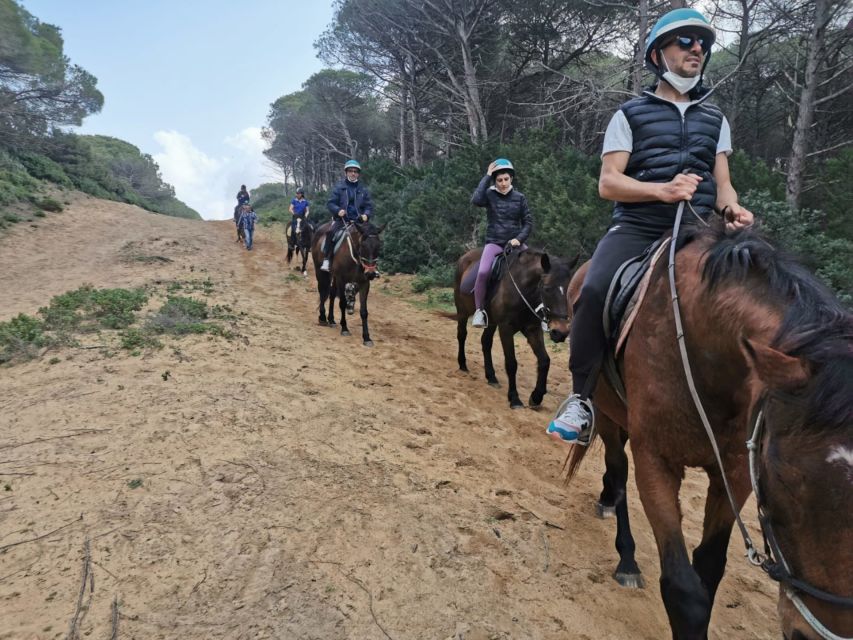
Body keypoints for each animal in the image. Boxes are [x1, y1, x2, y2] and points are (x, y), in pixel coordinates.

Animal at [452, 248, 580, 408]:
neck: (522, 291)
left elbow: (545, 361)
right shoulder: (505, 328)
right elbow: (511, 363)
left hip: (492, 322)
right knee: (462, 335)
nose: (560, 332)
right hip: (462, 311)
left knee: (485, 342)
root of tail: (465, 256)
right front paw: (514, 398)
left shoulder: (532, 329)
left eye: (569, 290)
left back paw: (491, 377)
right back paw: (462, 364)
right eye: (546, 289)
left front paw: (536, 396)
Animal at [564, 221, 848, 640]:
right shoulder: (657, 463)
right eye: (783, 478)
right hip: (608, 413)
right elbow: (684, 592)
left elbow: (709, 570)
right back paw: (627, 558)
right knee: (619, 473)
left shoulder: (734, 473)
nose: (808, 633)